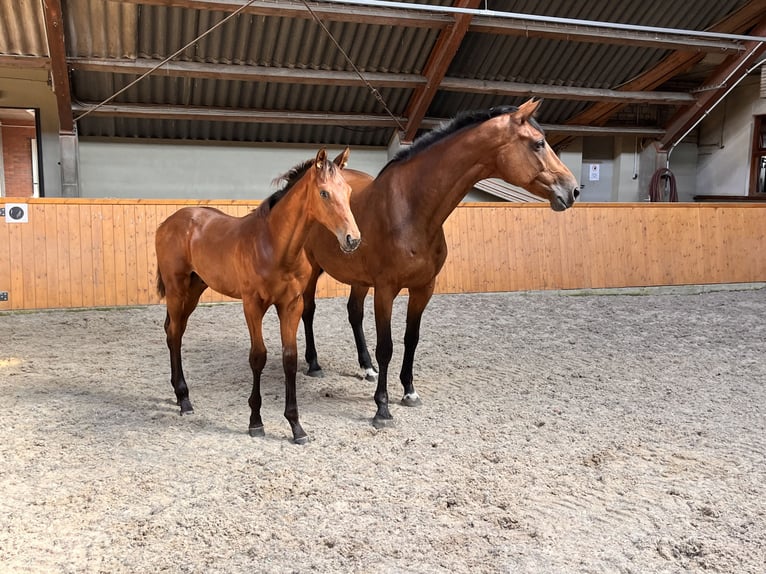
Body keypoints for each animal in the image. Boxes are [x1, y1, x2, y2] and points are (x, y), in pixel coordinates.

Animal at [157, 150, 364, 446]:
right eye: (324, 193)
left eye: (347, 191)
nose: (352, 239)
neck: (275, 246)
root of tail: (168, 222)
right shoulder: (252, 305)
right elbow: (258, 356)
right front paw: (255, 421)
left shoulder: (291, 305)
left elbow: (290, 358)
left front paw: (296, 426)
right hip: (176, 289)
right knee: (174, 335)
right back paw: (184, 399)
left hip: (195, 289)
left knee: (176, 330)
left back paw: (178, 395)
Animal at [304, 101, 580, 430]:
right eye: (538, 143)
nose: (573, 190)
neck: (410, 209)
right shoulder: (385, 290)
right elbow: (387, 346)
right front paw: (382, 408)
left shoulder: (424, 288)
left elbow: (411, 339)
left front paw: (409, 391)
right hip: (311, 270)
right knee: (308, 312)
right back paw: (313, 363)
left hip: (359, 279)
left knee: (354, 314)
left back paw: (367, 367)